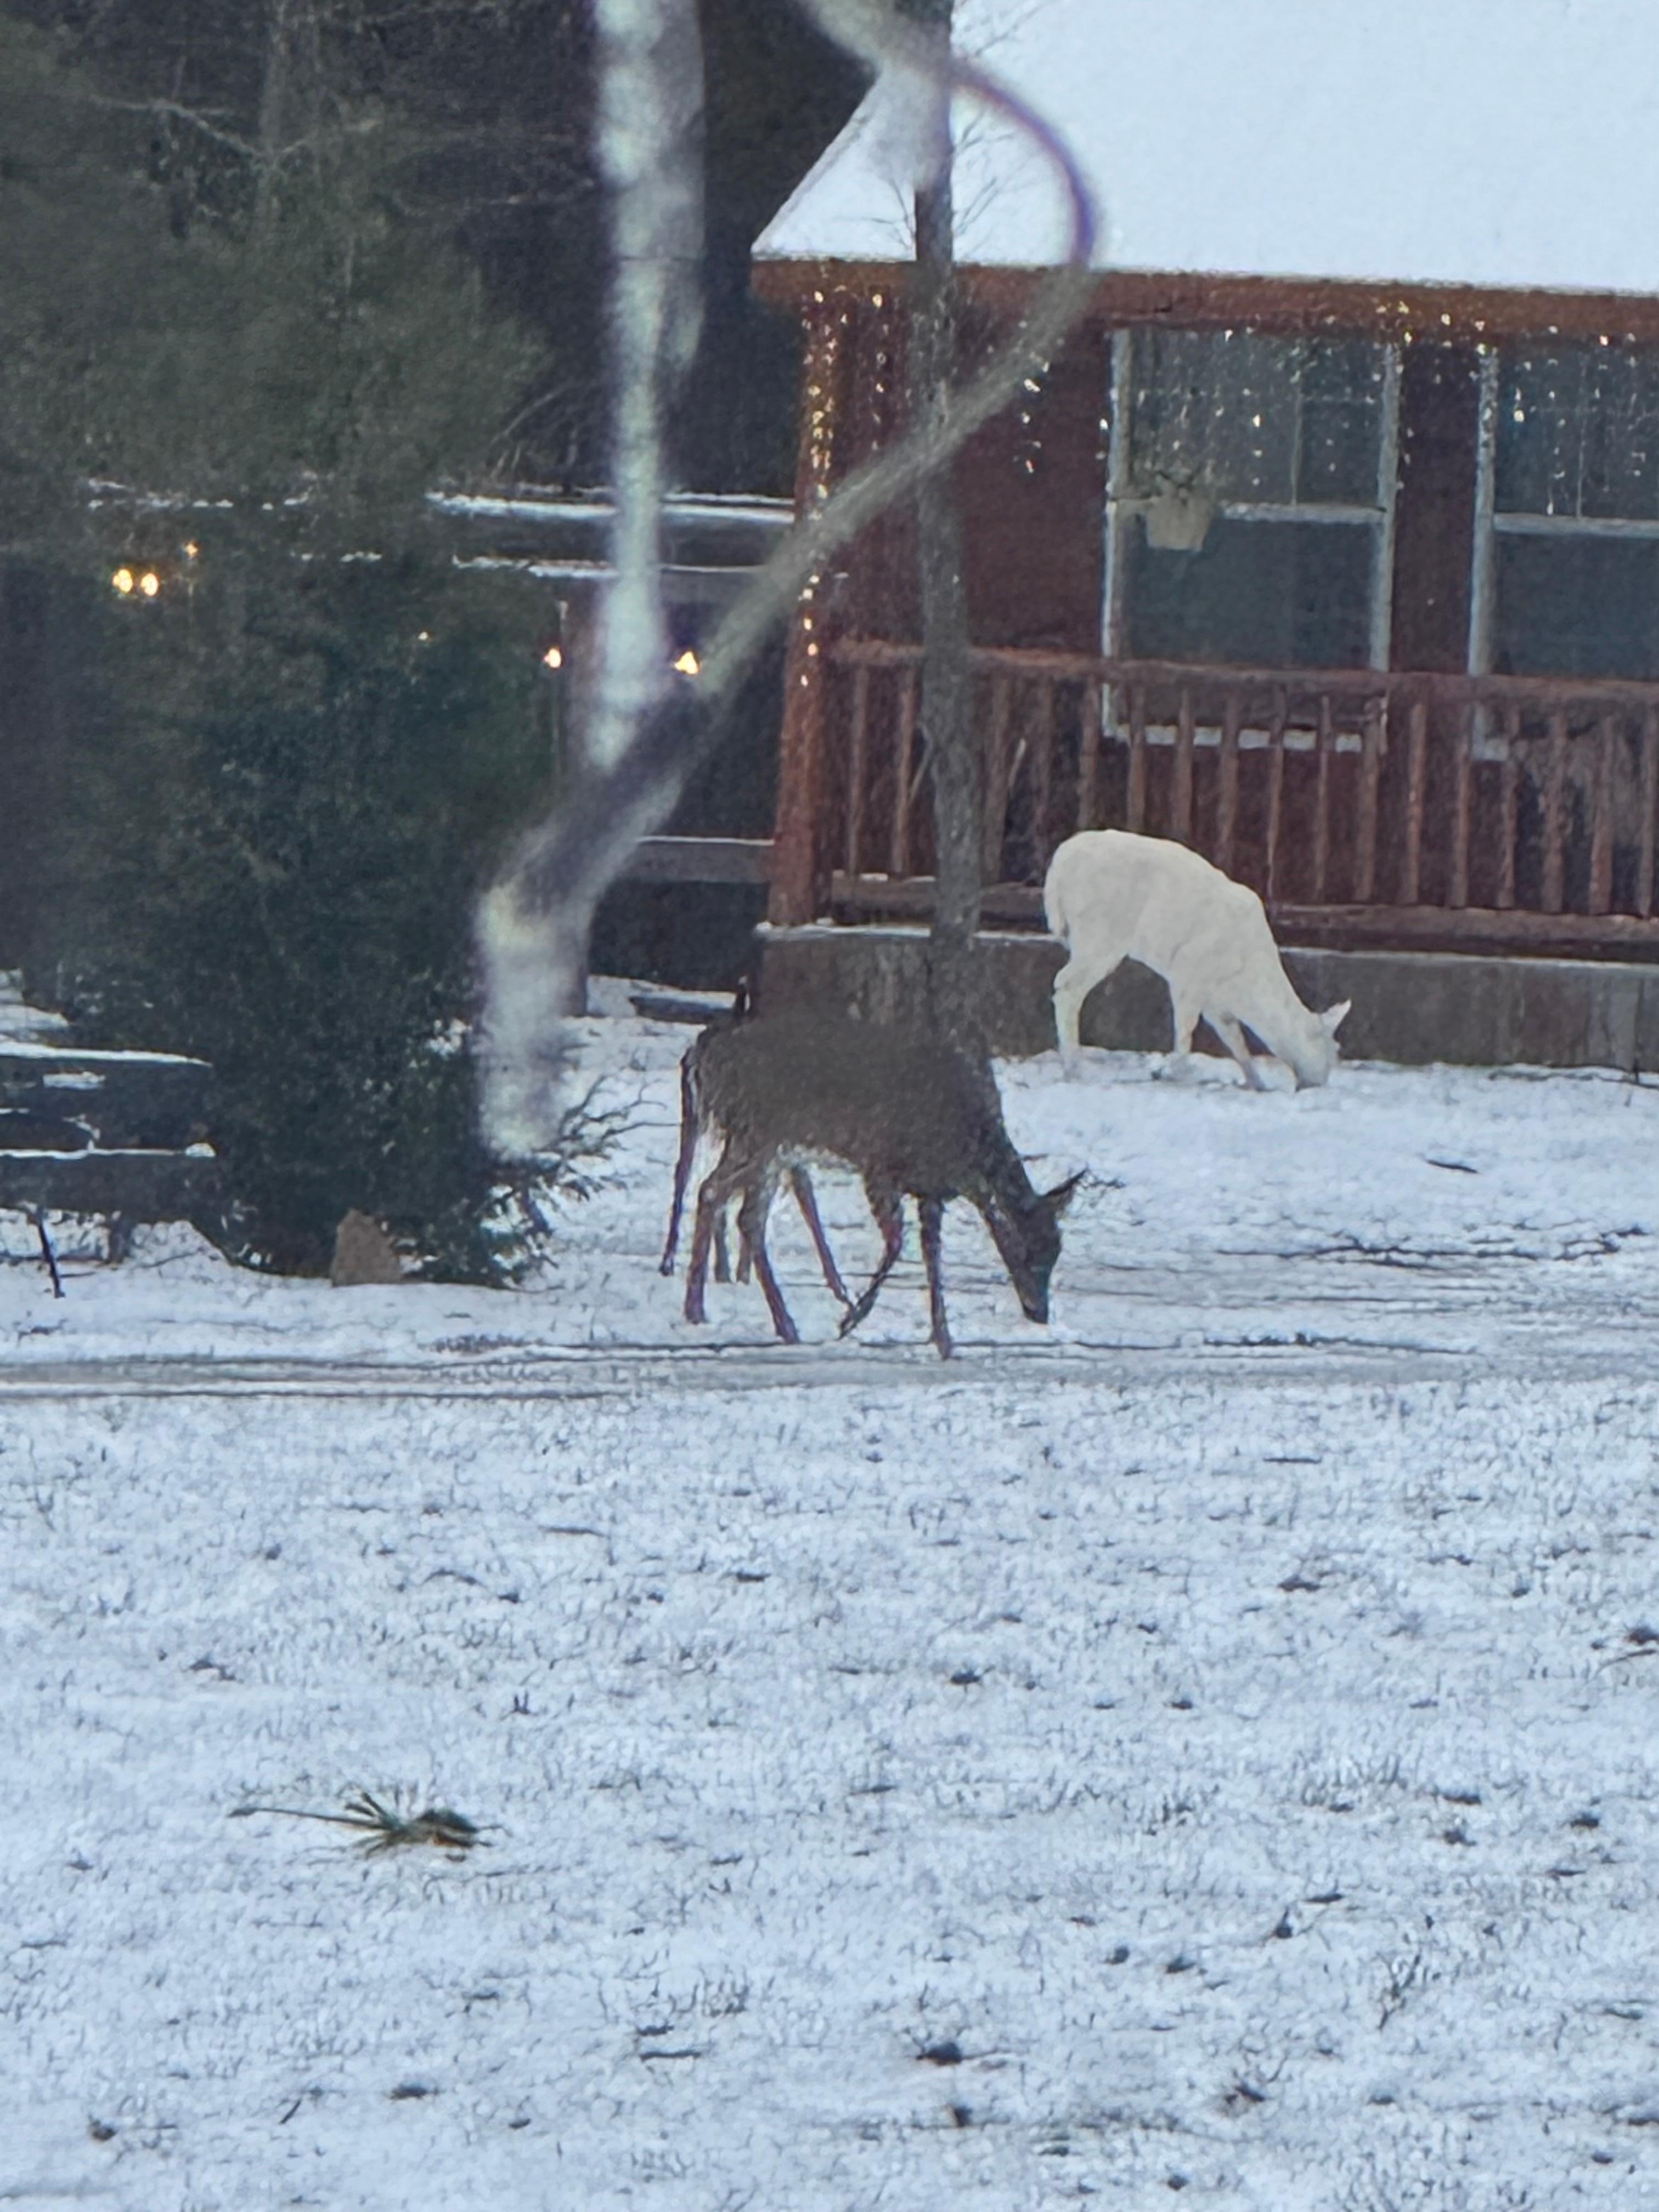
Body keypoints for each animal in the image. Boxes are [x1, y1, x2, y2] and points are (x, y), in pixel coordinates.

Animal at [676, 1009, 1080, 1358]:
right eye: (1025, 1251)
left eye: (1057, 1251)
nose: (1040, 1313)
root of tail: (707, 1059)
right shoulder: (881, 1169)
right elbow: (897, 1243)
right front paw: (851, 1318)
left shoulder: (932, 1189)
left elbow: (932, 1255)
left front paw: (943, 1338)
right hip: (760, 1135)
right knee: (724, 1198)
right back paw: (738, 1315)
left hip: (768, 1147)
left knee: (733, 1206)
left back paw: (732, 1315)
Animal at [1044, 829, 1351, 1090]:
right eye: (1334, 1050)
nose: (1317, 1084)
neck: (1246, 985)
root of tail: (1058, 865)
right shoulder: (1188, 973)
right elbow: (1185, 1027)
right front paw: (1173, 1072)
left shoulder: (1215, 1000)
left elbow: (1234, 1039)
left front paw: (1257, 1081)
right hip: (1100, 936)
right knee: (1067, 986)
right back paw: (1073, 1068)